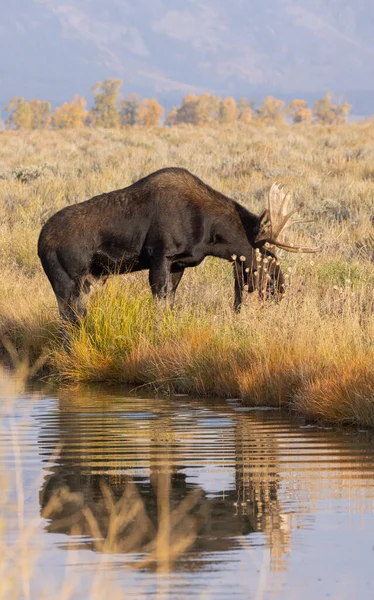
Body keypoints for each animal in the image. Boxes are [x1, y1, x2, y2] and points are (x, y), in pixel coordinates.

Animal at [38, 164, 318, 324]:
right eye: (268, 260)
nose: (281, 290)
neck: (210, 234)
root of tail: (39, 242)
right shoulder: (160, 255)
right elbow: (159, 302)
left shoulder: (179, 264)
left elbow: (170, 303)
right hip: (66, 280)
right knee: (68, 318)